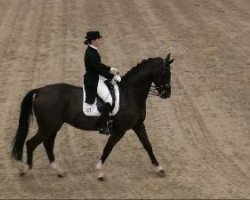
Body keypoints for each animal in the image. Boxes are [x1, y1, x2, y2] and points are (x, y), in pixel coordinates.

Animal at [11, 53, 174, 180]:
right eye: (165, 73)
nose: (167, 94)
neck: (131, 93)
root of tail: (40, 91)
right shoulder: (120, 130)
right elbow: (108, 148)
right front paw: (100, 172)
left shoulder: (138, 125)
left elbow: (147, 145)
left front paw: (159, 168)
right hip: (48, 126)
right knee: (31, 143)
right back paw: (24, 169)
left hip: (53, 127)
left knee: (47, 144)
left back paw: (59, 171)